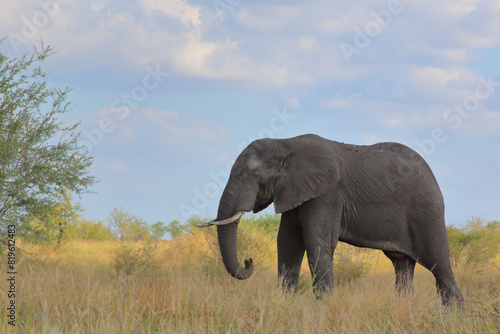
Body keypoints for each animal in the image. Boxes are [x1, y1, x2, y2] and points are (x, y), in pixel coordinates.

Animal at [195, 134, 464, 306]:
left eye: (255, 176)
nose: (249, 260)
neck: (285, 144)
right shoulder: (295, 191)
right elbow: (287, 244)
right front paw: (286, 304)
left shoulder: (327, 194)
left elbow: (317, 243)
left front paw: (322, 308)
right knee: (402, 266)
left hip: (426, 210)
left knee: (439, 264)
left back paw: (453, 315)